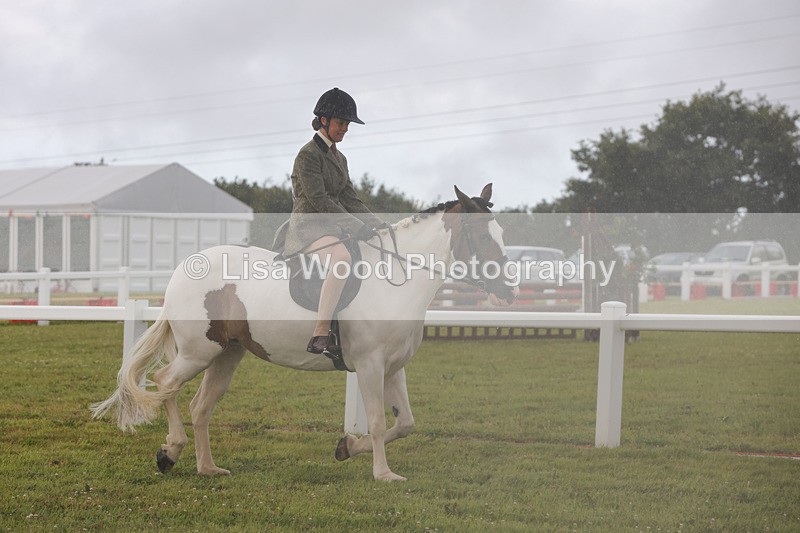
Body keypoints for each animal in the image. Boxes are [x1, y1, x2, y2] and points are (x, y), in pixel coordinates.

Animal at [91, 184, 517, 481]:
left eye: (501, 232)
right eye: (481, 236)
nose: (508, 291)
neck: (396, 277)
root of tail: (181, 271)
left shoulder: (394, 367)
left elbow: (405, 422)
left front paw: (347, 447)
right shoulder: (370, 365)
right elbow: (378, 421)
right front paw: (383, 474)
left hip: (227, 354)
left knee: (201, 405)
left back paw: (207, 468)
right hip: (199, 351)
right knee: (165, 382)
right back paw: (170, 452)